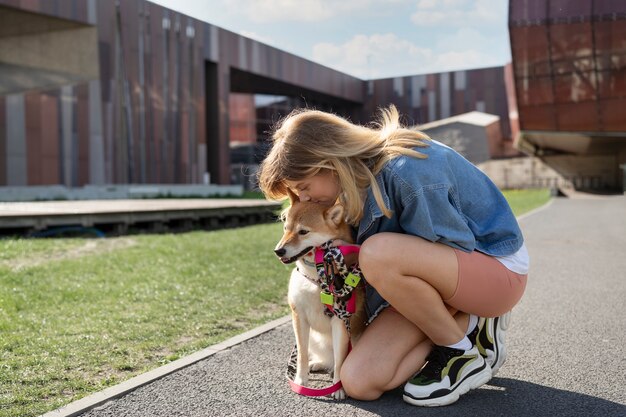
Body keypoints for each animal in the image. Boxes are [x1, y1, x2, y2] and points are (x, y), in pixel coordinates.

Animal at [274, 191, 366, 400]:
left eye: (303, 232)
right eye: (285, 228)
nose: (278, 250)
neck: (316, 279)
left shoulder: (340, 321)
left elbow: (341, 360)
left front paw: (338, 387)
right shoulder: (299, 317)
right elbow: (301, 354)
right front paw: (300, 381)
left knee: (335, 361)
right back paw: (316, 364)